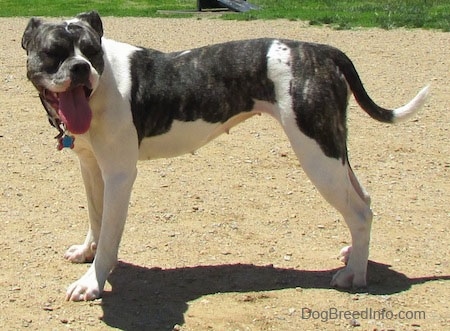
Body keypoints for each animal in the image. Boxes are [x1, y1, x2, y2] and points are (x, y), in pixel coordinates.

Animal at [22, 11, 428, 300]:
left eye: (92, 51)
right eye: (54, 53)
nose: (80, 68)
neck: (102, 87)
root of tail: (323, 51)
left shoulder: (120, 176)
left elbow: (109, 234)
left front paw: (92, 282)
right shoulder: (92, 168)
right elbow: (96, 217)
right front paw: (86, 252)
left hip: (318, 154)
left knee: (358, 211)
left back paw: (354, 274)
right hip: (332, 150)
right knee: (364, 200)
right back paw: (354, 255)